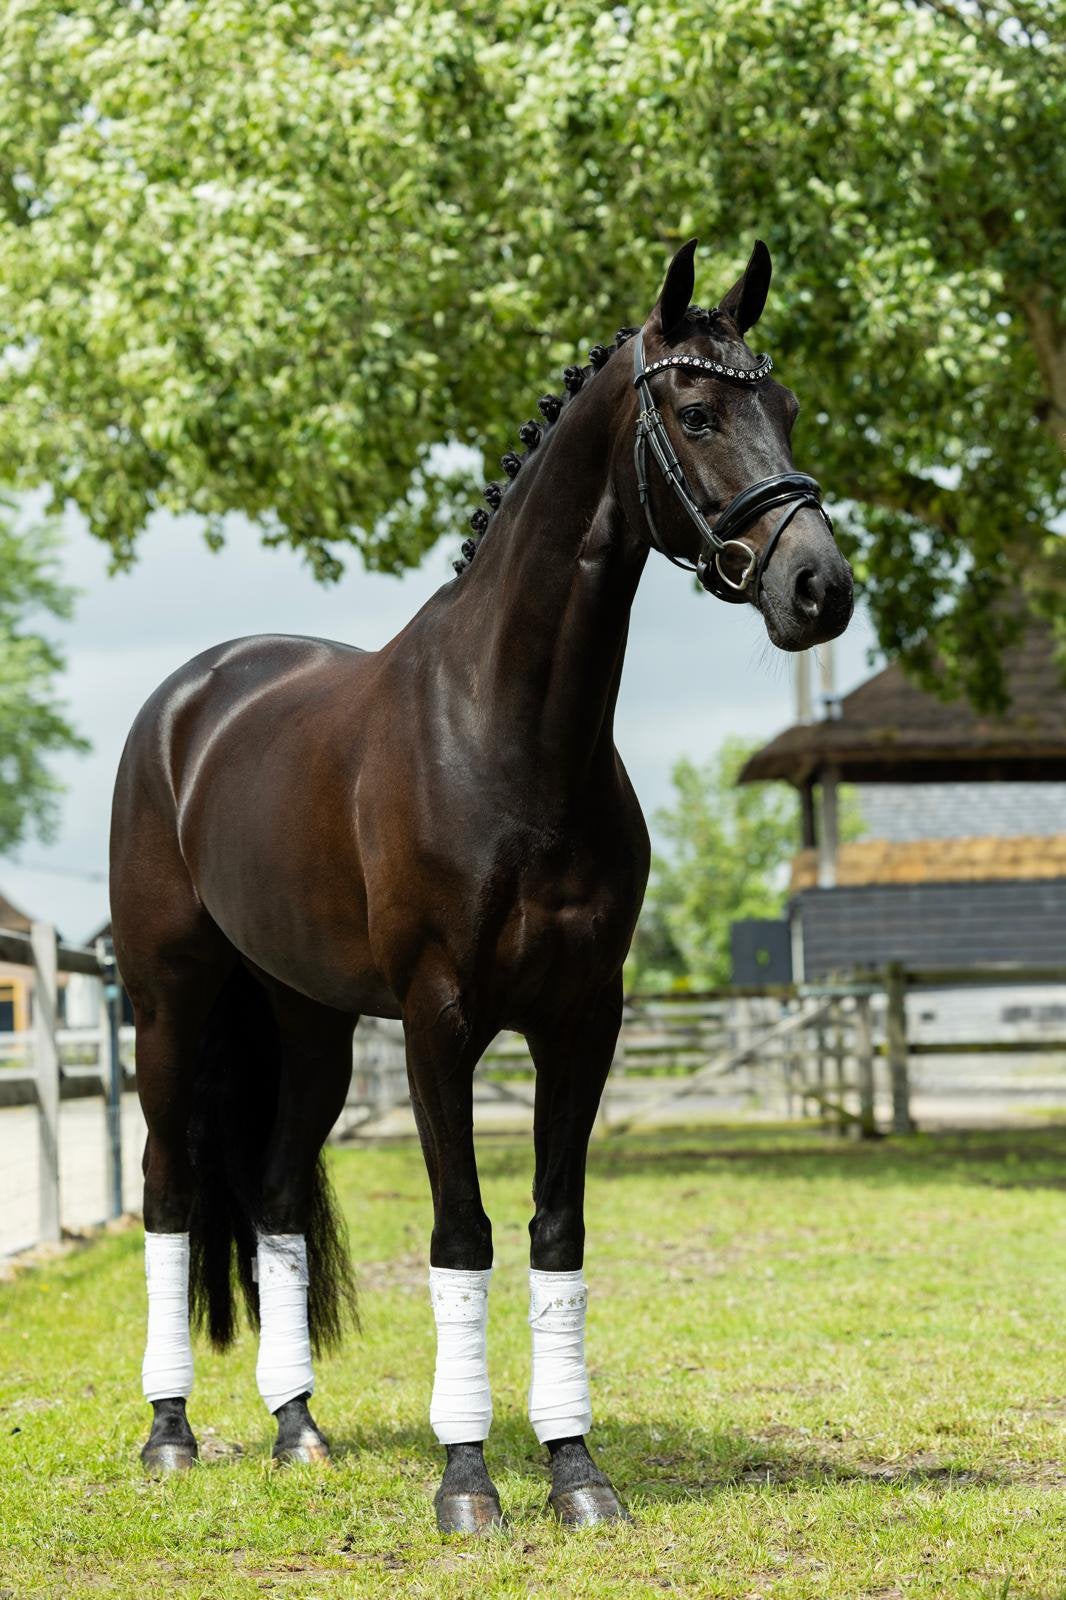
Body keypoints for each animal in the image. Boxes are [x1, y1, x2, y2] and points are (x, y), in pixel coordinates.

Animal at [109, 236, 853, 1532]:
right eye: (698, 411)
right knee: (168, 1187)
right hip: (172, 1005)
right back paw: (170, 1435)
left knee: (273, 1197)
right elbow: (461, 1232)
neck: (505, 735)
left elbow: (557, 1227)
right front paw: (466, 1482)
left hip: (309, 1025)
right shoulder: (439, 1021)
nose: (819, 587)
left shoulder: (582, 1018)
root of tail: (188, 701)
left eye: (791, 407)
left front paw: (576, 1473)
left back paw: (298, 1432)